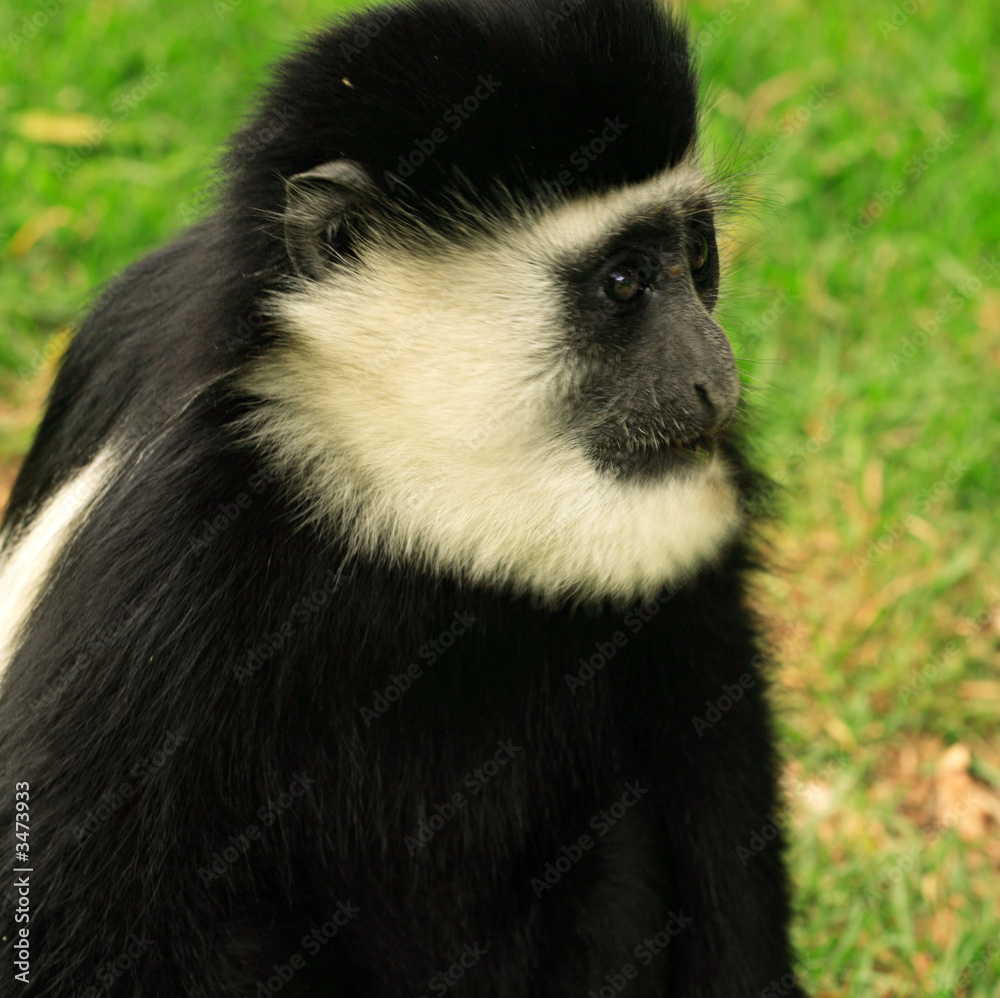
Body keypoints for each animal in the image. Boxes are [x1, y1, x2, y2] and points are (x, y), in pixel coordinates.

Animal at [0, 0, 808, 995]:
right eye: (623, 283)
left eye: (697, 257)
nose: (713, 376)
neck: (406, 496)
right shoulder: (163, 552)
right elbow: (71, 909)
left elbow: (716, 796)